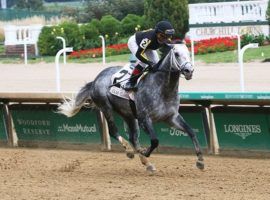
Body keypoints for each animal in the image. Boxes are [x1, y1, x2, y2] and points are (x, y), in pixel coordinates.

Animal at [57, 43, 205, 172]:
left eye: (189, 53)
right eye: (177, 54)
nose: (189, 71)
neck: (163, 88)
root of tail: (95, 80)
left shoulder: (171, 117)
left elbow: (191, 131)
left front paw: (200, 161)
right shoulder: (145, 119)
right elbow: (155, 141)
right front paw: (145, 151)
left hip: (128, 115)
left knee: (133, 138)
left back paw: (147, 163)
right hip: (106, 107)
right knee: (114, 131)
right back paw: (129, 151)